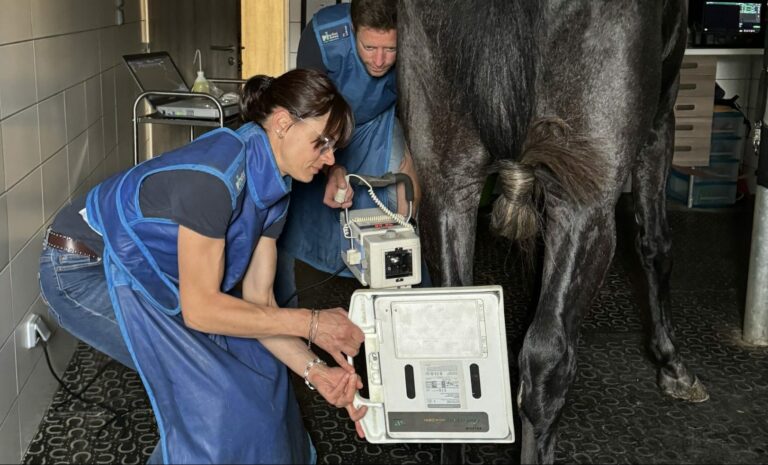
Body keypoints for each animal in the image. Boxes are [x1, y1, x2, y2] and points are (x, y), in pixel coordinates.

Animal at [400, 0, 712, 462]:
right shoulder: (661, 117)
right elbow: (655, 244)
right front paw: (672, 363)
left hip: (447, 187)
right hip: (586, 208)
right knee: (547, 364)